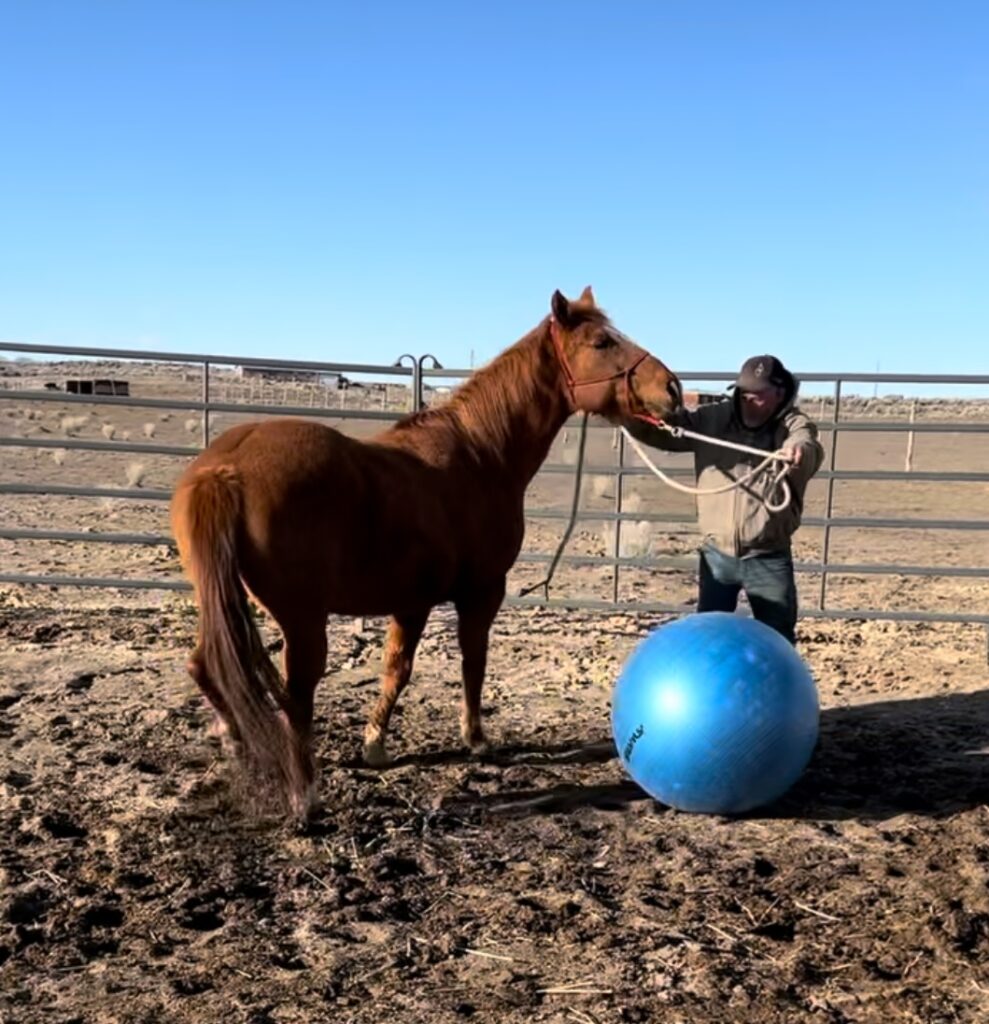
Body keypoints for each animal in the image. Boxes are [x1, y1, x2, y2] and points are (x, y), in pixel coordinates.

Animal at [172, 286, 679, 815]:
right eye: (602, 342)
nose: (672, 388)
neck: (480, 454)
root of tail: (222, 471)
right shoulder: (480, 594)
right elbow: (472, 662)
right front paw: (475, 739)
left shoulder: (410, 603)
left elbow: (396, 670)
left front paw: (375, 744)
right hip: (302, 618)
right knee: (296, 695)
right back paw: (305, 795)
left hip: (222, 600)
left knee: (205, 666)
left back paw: (237, 746)